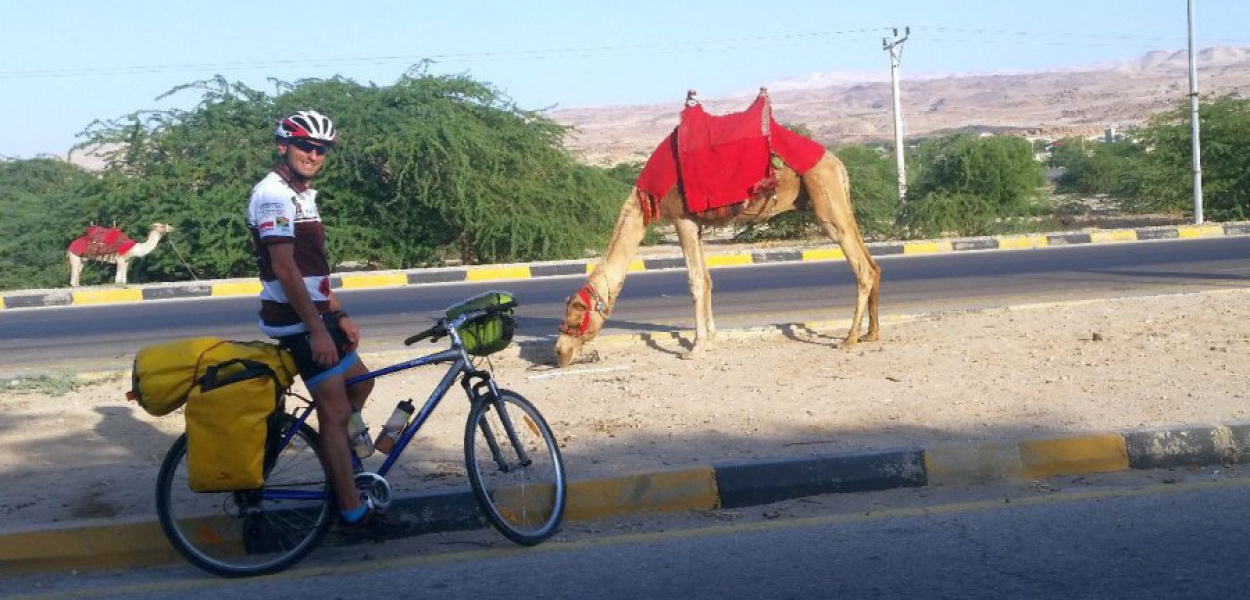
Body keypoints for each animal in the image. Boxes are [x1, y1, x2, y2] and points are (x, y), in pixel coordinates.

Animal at [552, 150, 885, 367]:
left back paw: (849, 339)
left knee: (860, 267)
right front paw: (711, 337)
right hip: (839, 199)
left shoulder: (683, 218)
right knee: (872, 264)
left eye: (573, 318)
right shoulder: (698, 223)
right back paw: (871, 334)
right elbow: (708, 279)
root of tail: (838, 164)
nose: (559, 353)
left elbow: (695, 281)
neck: (648, 193)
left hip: (825, 199)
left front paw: (695, 348)